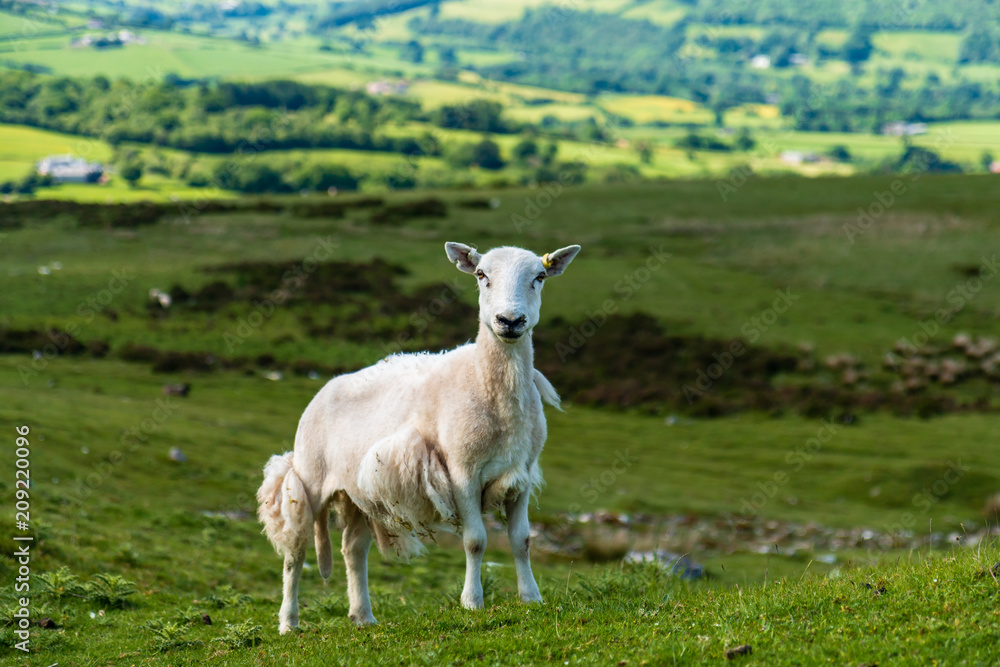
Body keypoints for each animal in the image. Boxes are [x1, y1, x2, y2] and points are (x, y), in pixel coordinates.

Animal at [257, 242, 581, 633]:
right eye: (481, 275)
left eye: (540, 276)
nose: (510, 321)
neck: (488, 385)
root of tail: (326, 387)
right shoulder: (461, 472)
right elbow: (475, 541)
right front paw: (472, 602)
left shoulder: (521, 474)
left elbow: (522, 541)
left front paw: (531, 598)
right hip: (309, 477)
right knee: (296, 551)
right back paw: (289, 622)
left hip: (357, 491)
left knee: (353, 549)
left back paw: (363, 616)